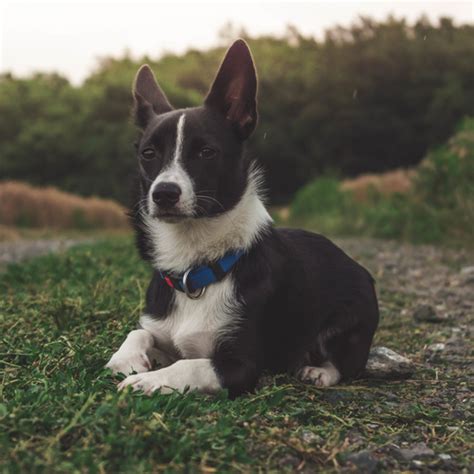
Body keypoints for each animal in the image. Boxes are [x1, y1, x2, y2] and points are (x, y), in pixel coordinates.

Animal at [105, 39, 380, 396]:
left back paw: (317, 370)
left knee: (343, 363)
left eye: (206, 152)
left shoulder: (240, 366)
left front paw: (147, 382)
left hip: (349, 322)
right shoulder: (162, 330)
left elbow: (187, 366)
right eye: (148, 154)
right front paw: (128, 359)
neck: (195, 267)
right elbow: (138, 333)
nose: (164, 193)